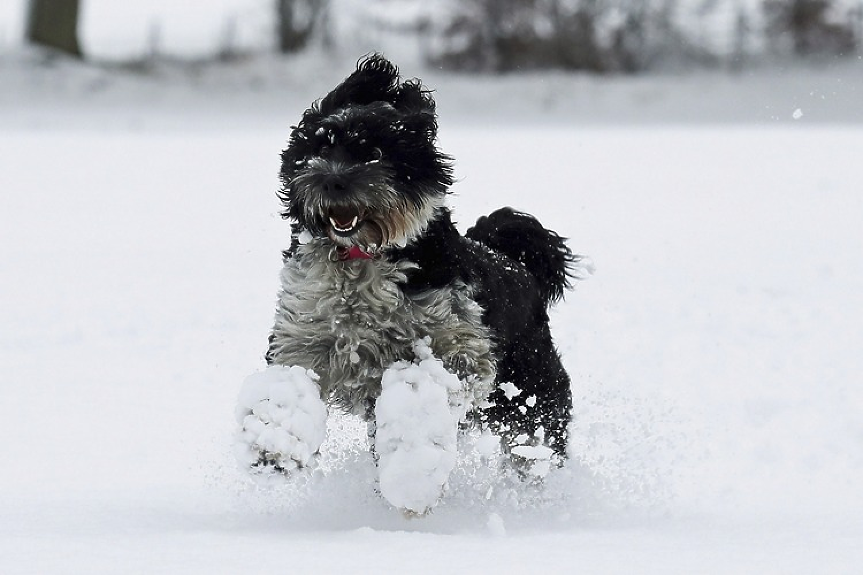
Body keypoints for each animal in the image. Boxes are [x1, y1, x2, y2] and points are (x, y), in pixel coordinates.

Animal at [238, 54, 588, 512]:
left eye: (376, 151)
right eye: (320, 147)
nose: (332, 179)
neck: (362, 258)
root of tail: (519, 265)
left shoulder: (458, 344)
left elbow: (426, 387)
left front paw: (411, 474)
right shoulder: (305, 335)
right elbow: (288, 385)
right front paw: (272, 444)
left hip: (531, 397)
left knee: (535, 447)